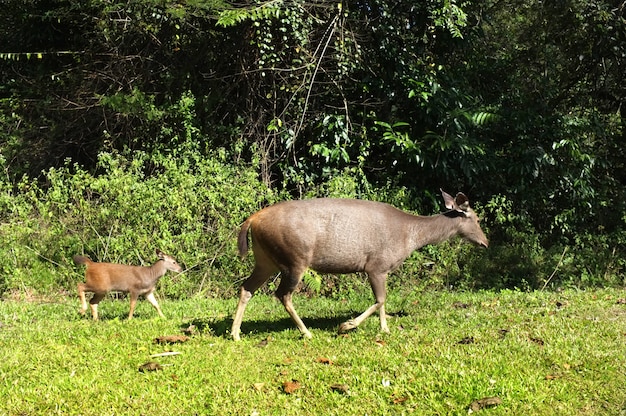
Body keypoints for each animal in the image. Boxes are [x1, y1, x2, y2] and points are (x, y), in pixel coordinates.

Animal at [230, 190, 488, 340]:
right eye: (476, 218)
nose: (485, 242)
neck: (410, 237)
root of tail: (252, 219)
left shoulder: (380, 269)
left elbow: (382, 301)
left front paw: (384, 327)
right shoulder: (376, 265)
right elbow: (381, 299)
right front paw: (348, 325)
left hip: (265, 259)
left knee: (247, 288)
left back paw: (235, 333)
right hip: (294, 258)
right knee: (283, 294)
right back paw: (306, 332)